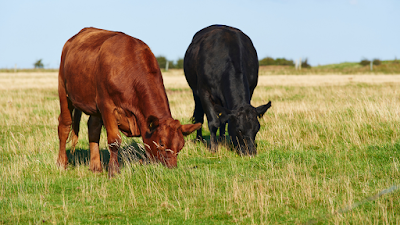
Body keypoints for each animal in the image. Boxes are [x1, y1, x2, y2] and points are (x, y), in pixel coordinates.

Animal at [57, 27, 202, 177]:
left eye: (181, 145)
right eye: (161, 143)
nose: (171, 168)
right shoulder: (107, 106)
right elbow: (114, 140)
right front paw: (114, 170)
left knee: (93, 129)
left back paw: (96, 166)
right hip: (63, 91)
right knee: (65, 125)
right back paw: (61, 163)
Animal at [184, 24, 272, 155]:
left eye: (257, 129)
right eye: (239, 130)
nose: (251, 152)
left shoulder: (251, 88)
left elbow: (223, 120)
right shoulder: (204, 92)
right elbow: (213, 122)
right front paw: (213, 148)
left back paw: (221, 138)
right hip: (195, 91)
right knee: (199, 116)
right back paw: (199, 138)